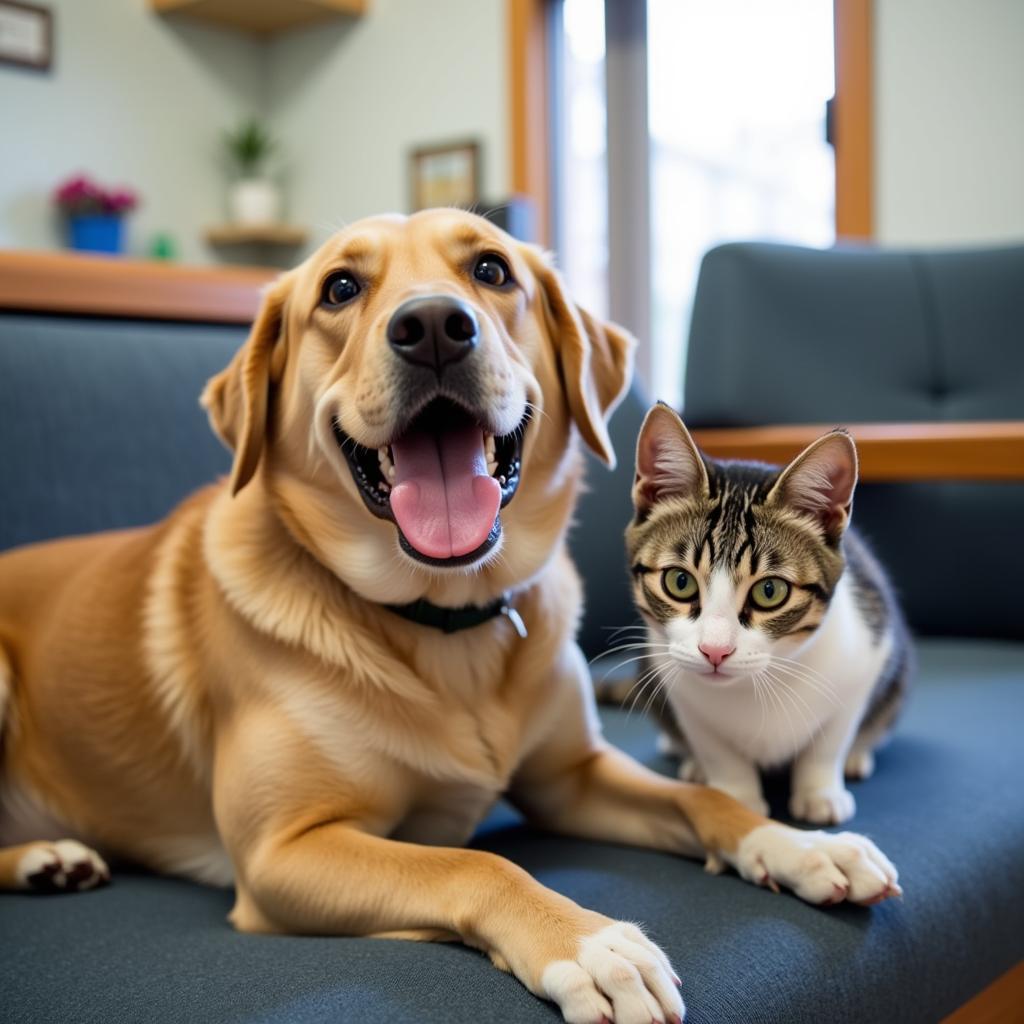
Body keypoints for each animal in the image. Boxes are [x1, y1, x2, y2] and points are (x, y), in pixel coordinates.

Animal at [622, 403, 913, 827]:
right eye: (680, 581)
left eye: (770, 591)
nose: (714, 651)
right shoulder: (675, 679)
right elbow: (715, 747)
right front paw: (735, 798)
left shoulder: (868, 654)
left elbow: (831, 739)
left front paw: (820, 791)